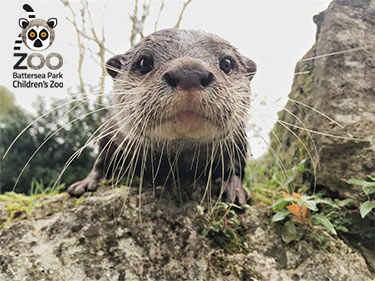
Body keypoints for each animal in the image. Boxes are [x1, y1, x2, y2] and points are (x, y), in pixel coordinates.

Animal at [67, 28, 258, 205]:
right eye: (144, 63)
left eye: (227, 63)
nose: (189, 73)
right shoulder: (111, 129)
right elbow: (101, 159)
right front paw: (86, 183)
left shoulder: (238, 140)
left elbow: (236, 167)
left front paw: (235, 188)